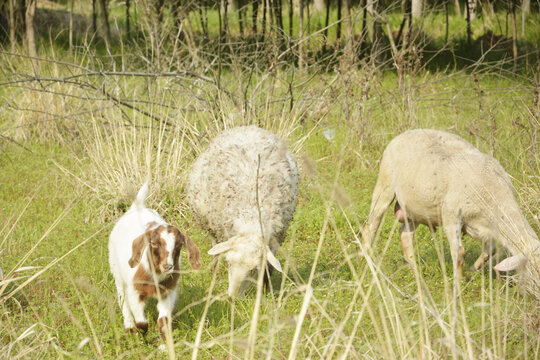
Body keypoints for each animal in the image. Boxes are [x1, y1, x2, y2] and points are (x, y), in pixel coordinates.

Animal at [188, 126, 300, 298]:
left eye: (254, 270)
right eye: (228, 263)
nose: (232, 297)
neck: (252, 215)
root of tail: (250, 128)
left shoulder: (275, 239)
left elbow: (268, 269)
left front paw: (266, 291)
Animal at [362, 128, 540, 282]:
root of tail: (407, 132)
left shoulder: (486, 227)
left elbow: (489, 251)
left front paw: (472, 270)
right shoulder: (451, 216)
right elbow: (459, 253)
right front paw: (459, 282)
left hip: (415, 206)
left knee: (405, 233)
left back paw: (414, 270)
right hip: (385, 185)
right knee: (371, 225)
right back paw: (366, 258)